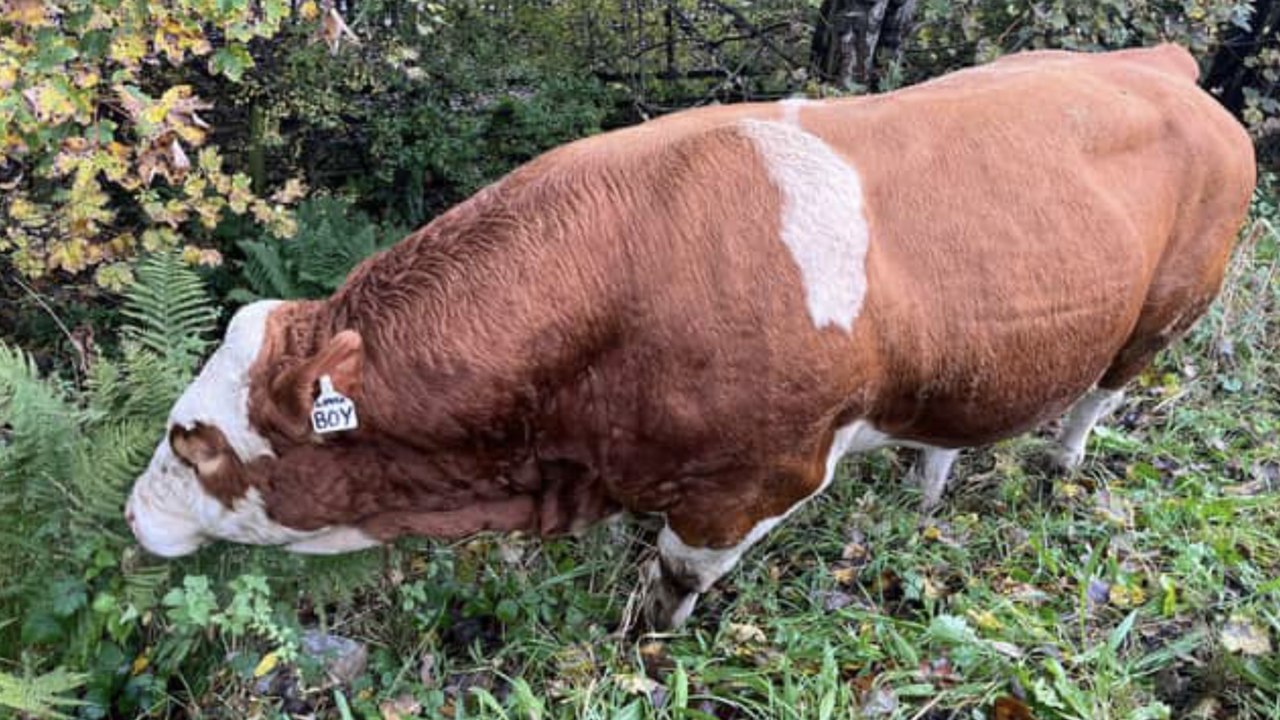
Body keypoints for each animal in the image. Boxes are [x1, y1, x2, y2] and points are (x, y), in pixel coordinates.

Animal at [125, 44, 1256, 631]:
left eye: (197, 440)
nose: (135, 516)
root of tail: (1159, 62)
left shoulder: (757, 480)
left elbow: (671, 581)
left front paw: (642, 645)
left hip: (1165, 314)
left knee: (1099, 395)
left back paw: (1059, 466)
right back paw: (928, 486)